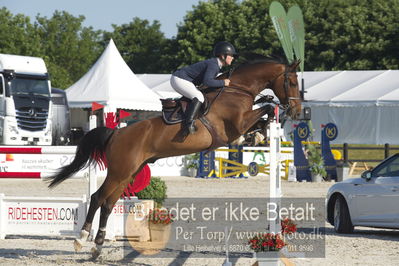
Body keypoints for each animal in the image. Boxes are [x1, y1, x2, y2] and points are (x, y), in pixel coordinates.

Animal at [46, 55, 300, 258]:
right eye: (292, 82)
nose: (297, 112)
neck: (237, 89)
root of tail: (116, 133)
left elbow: (262, 116)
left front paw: (258, 135)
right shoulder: (237, 123)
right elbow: (265, 108)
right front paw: (259, 131)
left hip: (129, 173)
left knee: (108, 203)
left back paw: (97, 247)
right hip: (119, 171)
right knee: (98, 198)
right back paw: (81, 239)